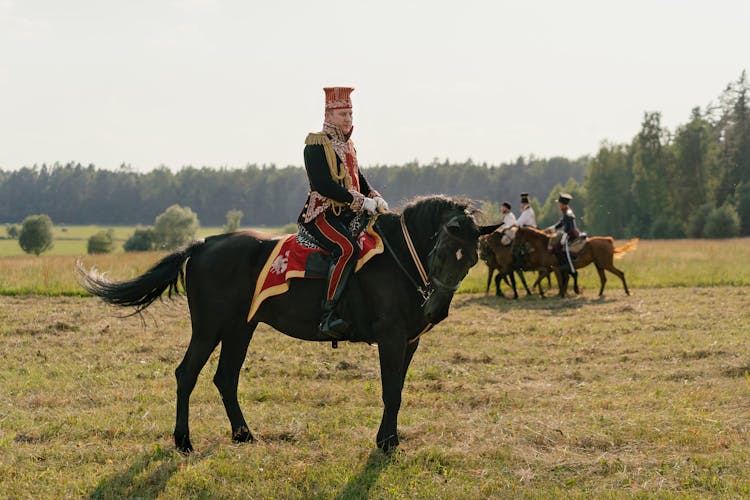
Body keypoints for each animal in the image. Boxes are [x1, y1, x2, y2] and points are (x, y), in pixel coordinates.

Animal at [78, 195, 500, 454]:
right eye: (442, 250)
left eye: (472, 260)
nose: (435, 312)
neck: (399, 257)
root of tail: (204, 244)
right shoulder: (391, 338)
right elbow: (390, 392)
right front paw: (385, 442)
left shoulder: (410, 341)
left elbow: (397, 389)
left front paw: (391, 440)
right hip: (209, 327)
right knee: (187, 374)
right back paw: (183, 441)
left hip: (240, 328)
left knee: (225, 378)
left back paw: (244, 435)